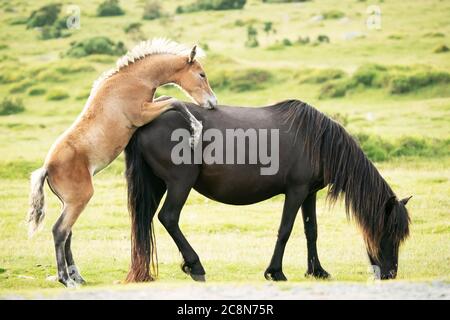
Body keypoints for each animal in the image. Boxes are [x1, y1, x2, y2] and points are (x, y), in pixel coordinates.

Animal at [27, 39, 217, 288]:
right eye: (201, 74)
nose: (212, 103)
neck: (133, 79)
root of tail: (47, 168)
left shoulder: (150, 105)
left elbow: (167, 98)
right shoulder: (142, 113)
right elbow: (174, 101)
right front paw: (196, 129)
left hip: (68, 203)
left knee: (68, 233)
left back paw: (77, 276)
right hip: (79, 199)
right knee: (60, 231)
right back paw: (66, 280)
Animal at [124, 99, 412, 282]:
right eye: (389, 232)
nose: (390, 273)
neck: (316, 141)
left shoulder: (309, 193)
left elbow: (311, 231)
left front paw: (317, 271)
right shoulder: (295, 192)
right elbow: (285, 230)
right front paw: (276, 272)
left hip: (158, 185)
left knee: (144, 221)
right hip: (179, 183)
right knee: (169, 218)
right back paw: (196, 266)